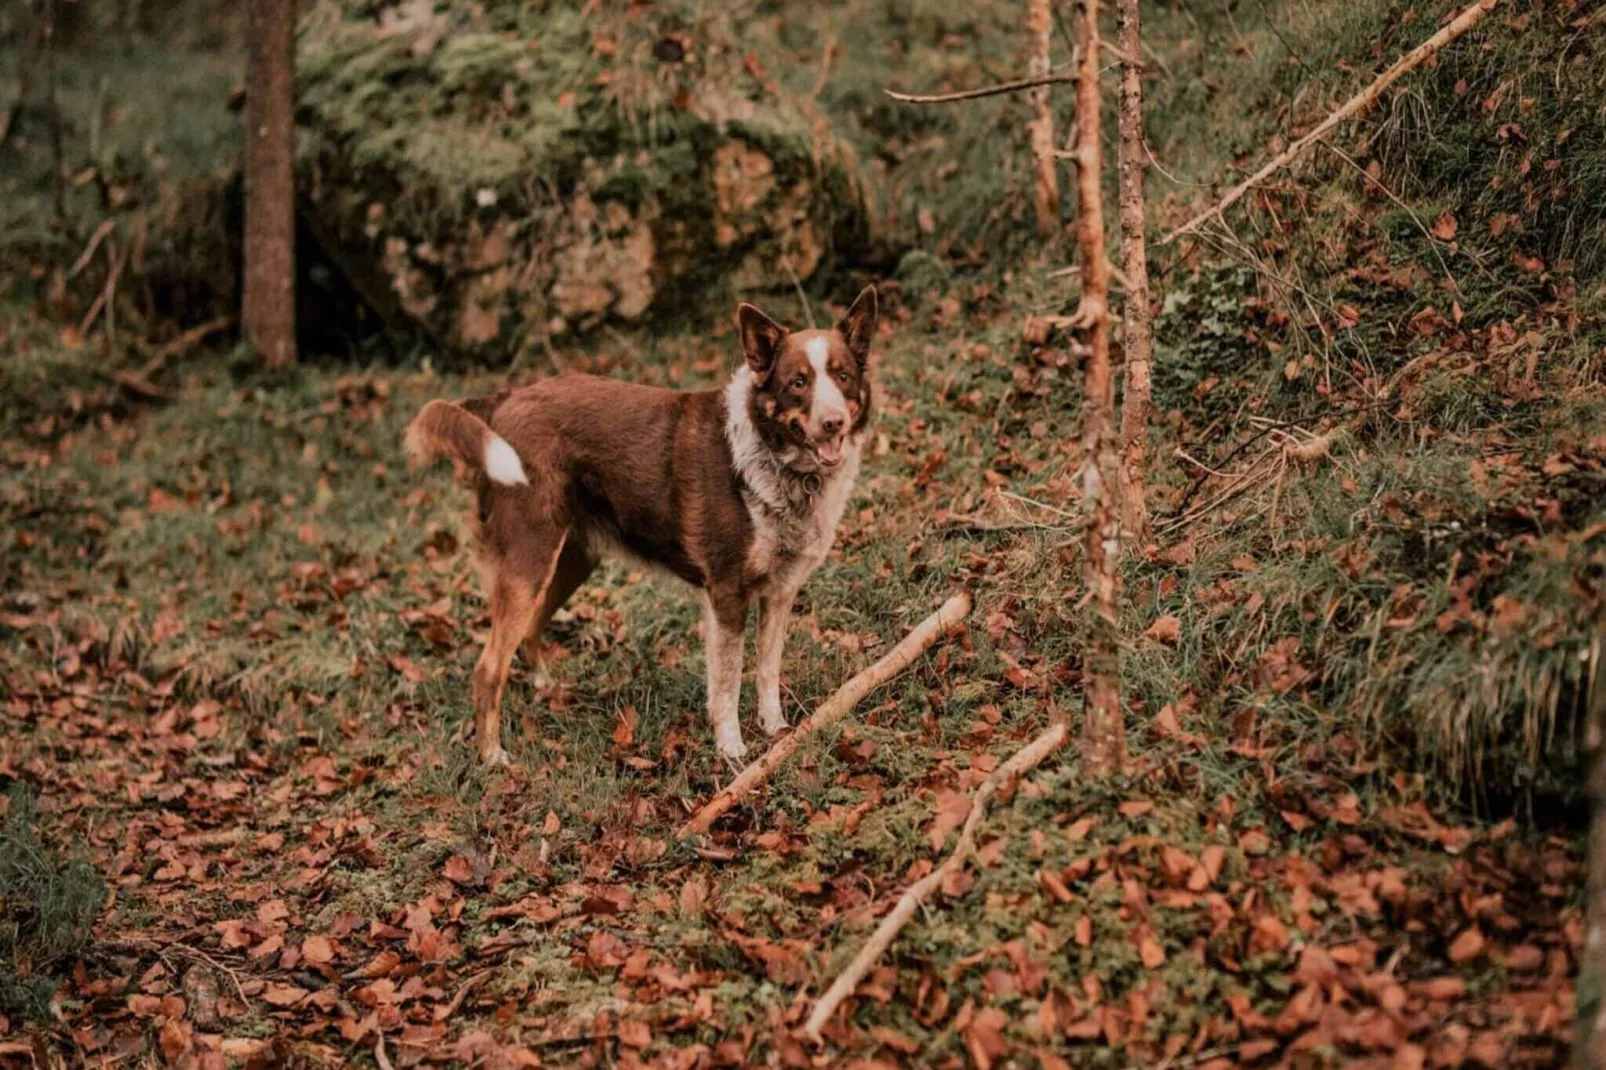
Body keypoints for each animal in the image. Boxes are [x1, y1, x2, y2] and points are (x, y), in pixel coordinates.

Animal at [404, 287, 880, 761]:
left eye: (842, 377)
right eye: (798, 382)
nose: (833, 422)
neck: (771, 458)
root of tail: (504, 399)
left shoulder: (780, 592)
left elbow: (765, 670)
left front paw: (776, 730)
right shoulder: (727, 593)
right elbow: (728, 682)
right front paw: (732, 749)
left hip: (571, 560)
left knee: (529, 632)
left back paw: (548, 692)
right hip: (530, 560)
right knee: (488, 668)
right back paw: (493, 756)